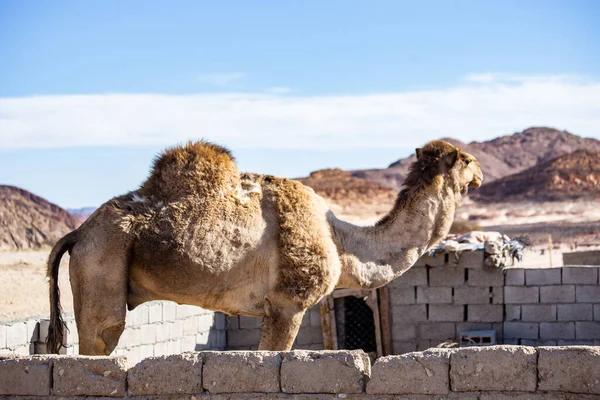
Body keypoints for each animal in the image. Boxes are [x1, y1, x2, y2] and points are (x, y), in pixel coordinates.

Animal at [47, 140, 482, 354]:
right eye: (466, 159)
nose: (478, 174)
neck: (342, 241)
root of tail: (78, 233)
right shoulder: (288, 303)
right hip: (101, 258)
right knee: (102, 335)